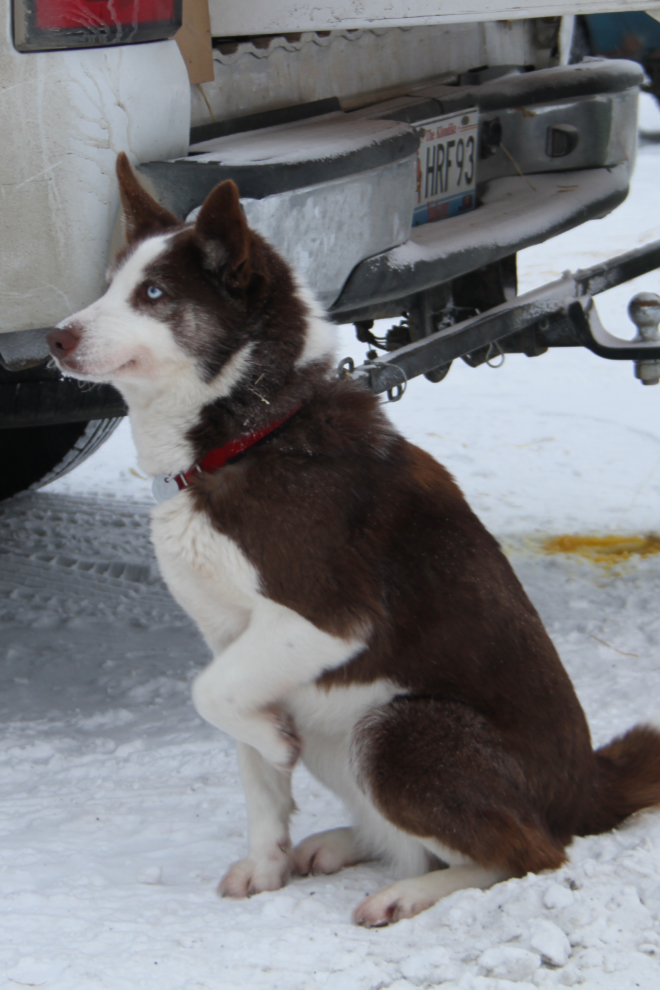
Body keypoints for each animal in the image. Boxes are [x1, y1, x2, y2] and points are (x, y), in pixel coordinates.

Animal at [49, 151, 660, 928]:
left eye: (153, 294)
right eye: (109, 286)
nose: (55, 338)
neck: (249, 432)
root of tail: (589, 787)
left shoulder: (324, 620)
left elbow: (210, 695)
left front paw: (272, 744)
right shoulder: (233, 639)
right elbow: (246, 752)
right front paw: (267, 864)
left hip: (394, 730)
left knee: (528, 853)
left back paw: (410, 894)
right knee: (417, 843)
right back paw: (343, 844)